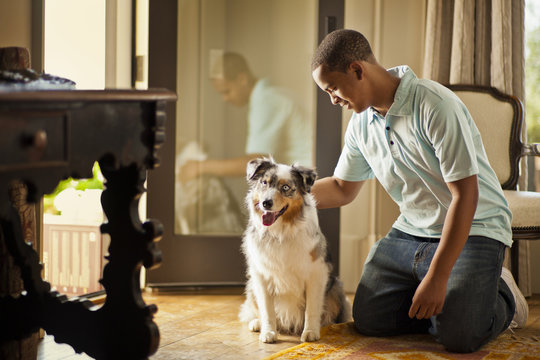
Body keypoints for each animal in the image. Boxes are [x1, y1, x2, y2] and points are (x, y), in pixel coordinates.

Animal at [239, 158, 350, 344]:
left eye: (285, 187)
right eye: (264, 183)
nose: (266, 203)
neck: (280, 231)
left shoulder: (316, 273)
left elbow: (311, 308)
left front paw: (310, 332)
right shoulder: (261, 275)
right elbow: (267, 309)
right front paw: (268, 332)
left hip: (336, 286)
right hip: (251, 285)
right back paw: (257, 323)